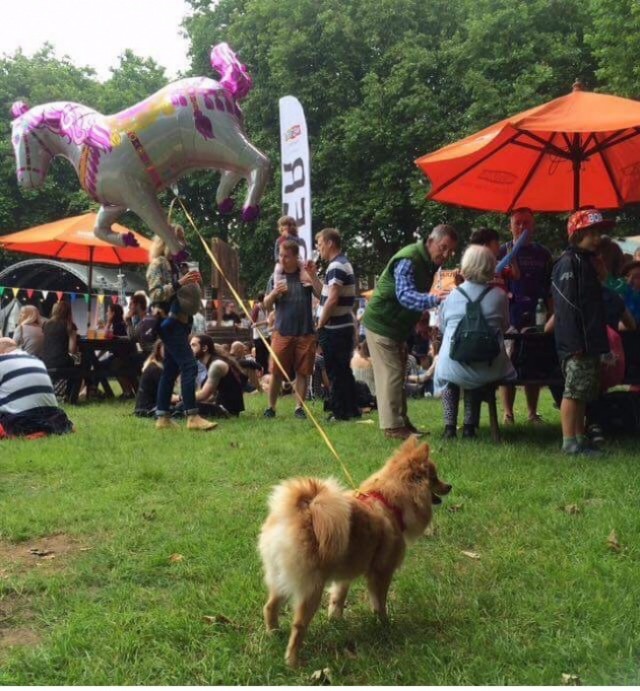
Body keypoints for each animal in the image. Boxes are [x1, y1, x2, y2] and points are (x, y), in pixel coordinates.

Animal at [10, 43, 270, 254]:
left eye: (23, 137)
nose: (24, 180)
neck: (87, 144)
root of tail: (222, 86)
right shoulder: (115, 203)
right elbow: (98, 229)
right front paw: (127, 239)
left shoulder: (137, 192)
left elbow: (159, 225)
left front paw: (179, 256)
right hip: (214, 148)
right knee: (234, 170)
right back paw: (225, 201)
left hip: (219, 139)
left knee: (259, 162)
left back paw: (249, 209)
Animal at [258, 440, 452, 668]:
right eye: (434, 478)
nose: (449, 486)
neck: (389, 502)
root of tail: (304, 512)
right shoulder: (381, 572)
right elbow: (379, 602)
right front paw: (384, 624)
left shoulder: (346, 572)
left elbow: (338, 597)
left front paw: (336, 619)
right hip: (311, 587)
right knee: (298, 625)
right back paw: (293, 660)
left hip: (279, 576)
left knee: (270, 607)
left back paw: (273, 633)